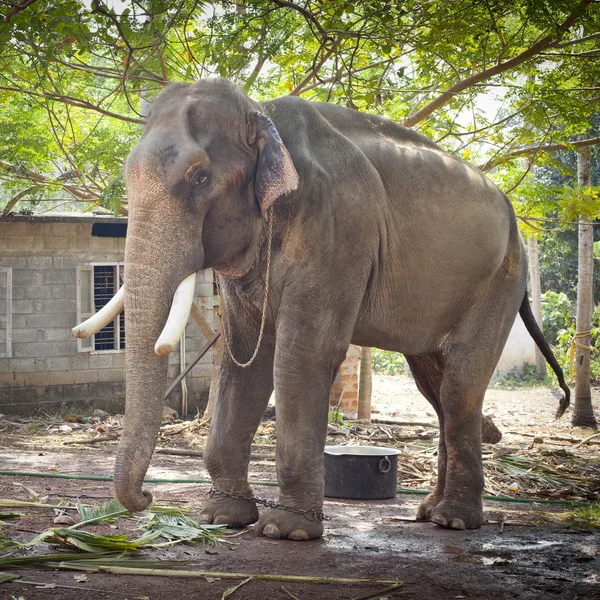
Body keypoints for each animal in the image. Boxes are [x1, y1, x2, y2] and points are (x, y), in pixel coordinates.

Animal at [77, 77, 568, 540]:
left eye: (199, 178)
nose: (146, 496)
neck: (261, 114)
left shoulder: (336, 230)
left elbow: (302, 357)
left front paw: (285, 529)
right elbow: (244, 363)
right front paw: (223, 516)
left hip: (501, 278)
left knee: (460, 386)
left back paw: (455, 520)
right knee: (436, 387)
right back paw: (429, 512)